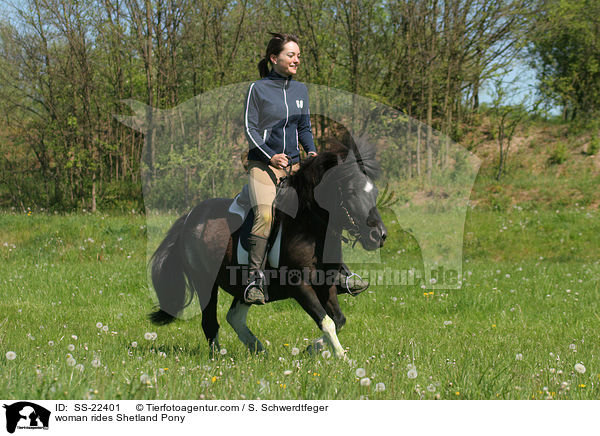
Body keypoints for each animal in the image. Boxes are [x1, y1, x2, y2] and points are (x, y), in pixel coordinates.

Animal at [148, 139, 386, 358]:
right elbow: (326, 321)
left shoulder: (326, 283)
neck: (309, 228)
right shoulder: (299, 285)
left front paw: (311, 349)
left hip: (241, 285)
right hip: (205, 282)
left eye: (373, 192)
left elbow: (338, 320)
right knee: (210, 323)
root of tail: (189, 219)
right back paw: (220, 358)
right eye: (351, 191)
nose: (379, 236)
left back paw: (260, 352)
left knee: (235, 316)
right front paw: (343, 358)